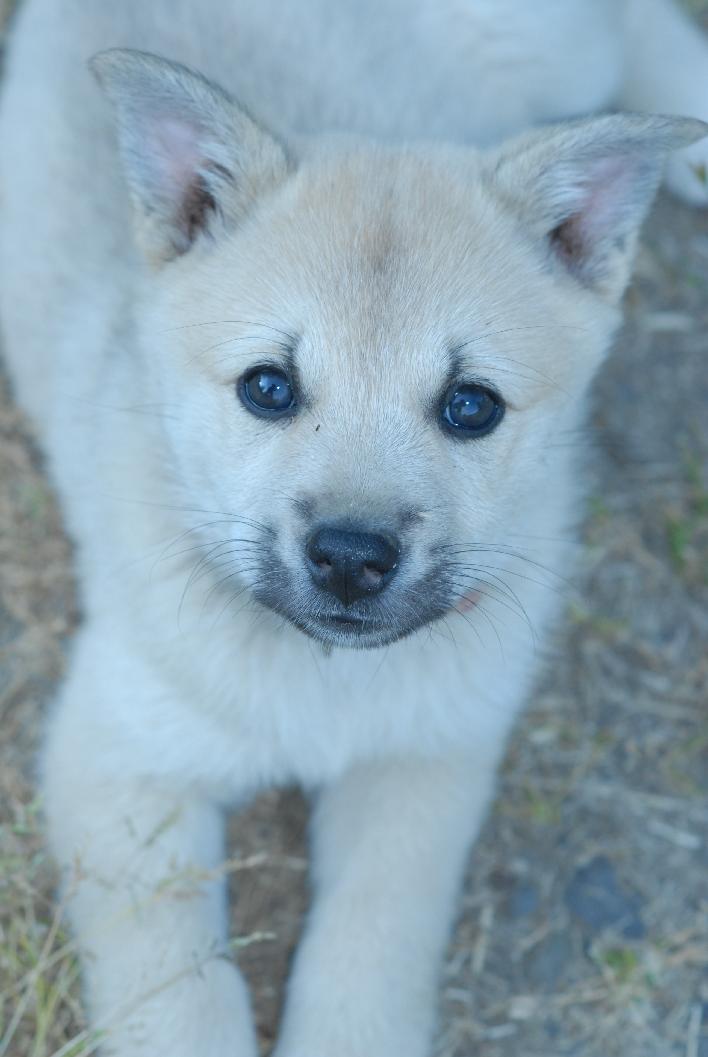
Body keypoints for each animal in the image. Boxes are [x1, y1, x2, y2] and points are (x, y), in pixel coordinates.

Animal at [1, 2, 708, 1057]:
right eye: (268, 387)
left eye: (470, 406)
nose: (349, 557)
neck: (323, 678)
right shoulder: (120, 762)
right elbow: (181, 996)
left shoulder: (426, 760)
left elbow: (370, 946)